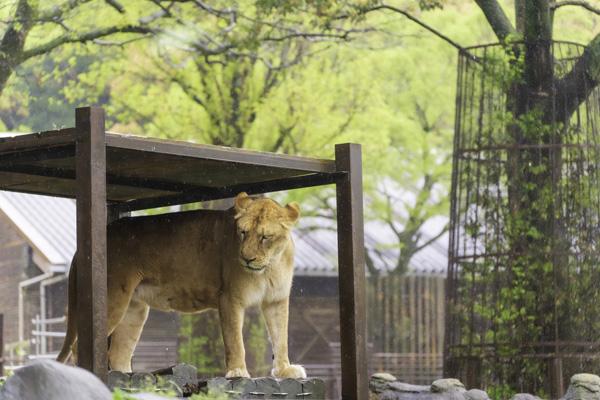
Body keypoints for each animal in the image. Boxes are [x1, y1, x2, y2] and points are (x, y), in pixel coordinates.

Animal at [57, 192, 304, 380]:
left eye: (265, 237)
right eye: (242, 232)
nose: (246, 258)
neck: (270, 266)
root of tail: (85, 245)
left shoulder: (276, 300)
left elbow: (281, 337)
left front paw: (285, 370)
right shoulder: (230, 297)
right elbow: (235, 340)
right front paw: (238, 372)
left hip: (134, 309)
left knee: (118, 352)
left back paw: (125, 377)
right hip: (112, 296)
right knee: (80, 345)